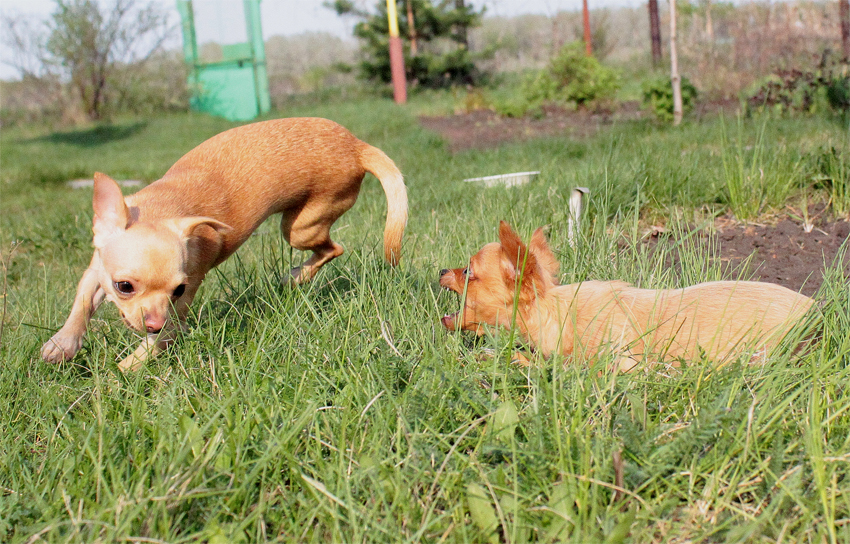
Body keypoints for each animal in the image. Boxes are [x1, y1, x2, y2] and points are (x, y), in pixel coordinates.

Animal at [42, 117, 408, 371]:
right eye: (124, 286)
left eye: (178, 290)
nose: (155, 323)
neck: (163, 207)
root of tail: (357, 145)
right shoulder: (96, 272)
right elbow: (81, 304)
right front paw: (63, 344)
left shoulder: (176, 317)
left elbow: (150, 348)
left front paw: (117, 376)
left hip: (300, 227)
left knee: (333, 248)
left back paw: (297, 276)